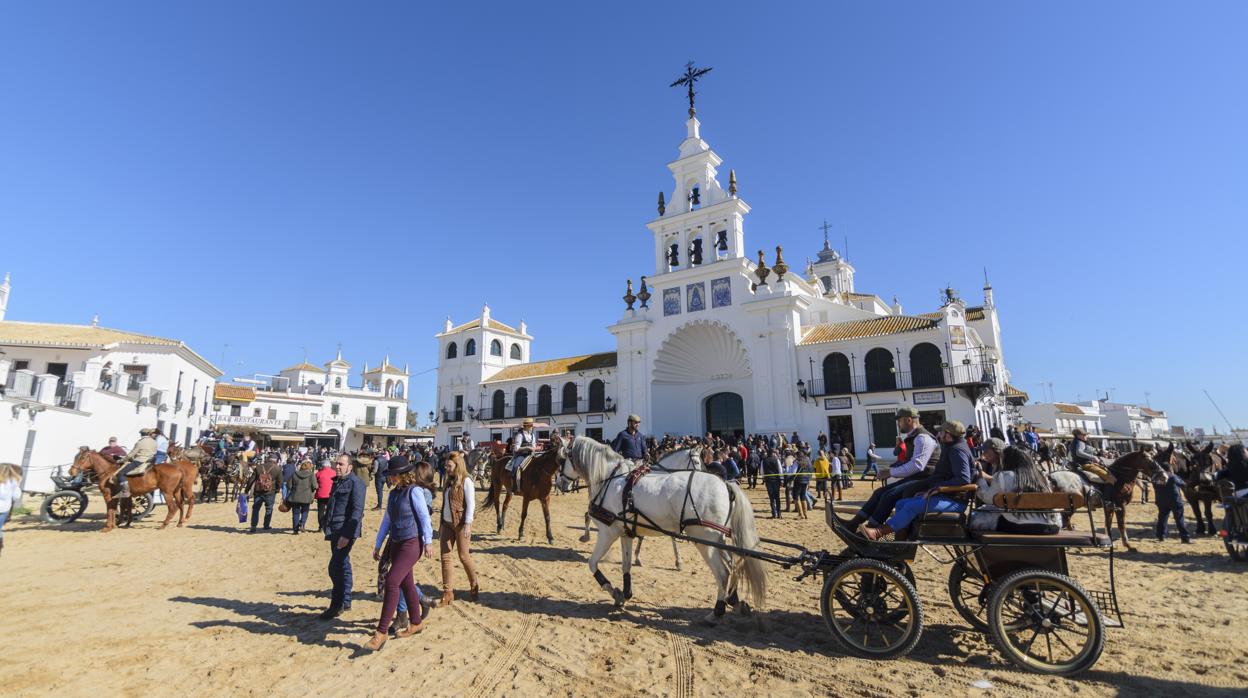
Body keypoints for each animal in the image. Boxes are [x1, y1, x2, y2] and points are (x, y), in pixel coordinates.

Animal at [69, 449, 197, 531]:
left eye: (82, 458)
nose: (71, 472)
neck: (108, 472)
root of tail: (179, 468)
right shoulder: (125, 496)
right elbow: (125, 507)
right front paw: (124, 523)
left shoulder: (108, 495)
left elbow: (110, 509)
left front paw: (108, 526)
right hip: (176, 492)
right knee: (181, 505)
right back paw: (180, 522)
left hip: (167, 492)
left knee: (173, 507)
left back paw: (164, 525)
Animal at [561, 437, 763, 621]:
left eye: (562, 458)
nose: (560, 483)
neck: (610, 480)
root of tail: (725, 484)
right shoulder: (626, 533)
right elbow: (626, 565)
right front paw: (625, 593)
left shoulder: (607, 533)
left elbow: (592, 563)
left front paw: (615, 593)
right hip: (717, 539)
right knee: (732, 564)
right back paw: (735, 601)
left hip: (705, 540)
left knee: (723, 572)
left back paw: (717, 612)